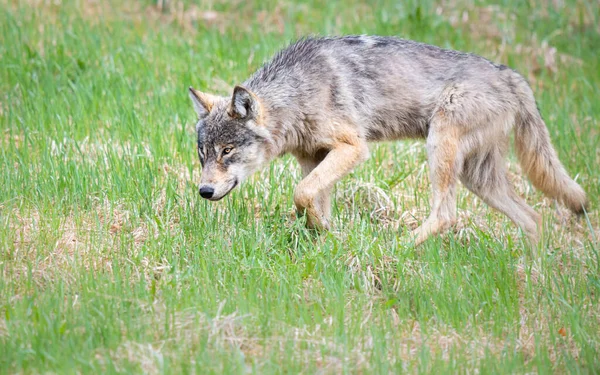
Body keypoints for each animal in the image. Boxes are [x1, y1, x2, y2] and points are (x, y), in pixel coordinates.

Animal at [190, 35, 588, 247]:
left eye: (227, 151)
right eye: (203, 155)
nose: (204, 192)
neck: (296, 94)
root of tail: (511, 75)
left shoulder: (352, 147)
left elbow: (301, 193)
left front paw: (322, 232)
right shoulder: (314, 158)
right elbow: (312, 198)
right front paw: (325, 238)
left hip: (440, 148)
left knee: (446, 214)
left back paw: (399, 247)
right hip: (478, 177)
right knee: (533, 217)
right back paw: (532, 272)